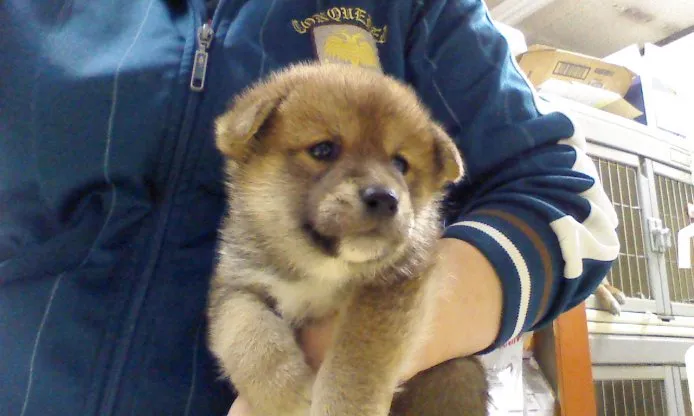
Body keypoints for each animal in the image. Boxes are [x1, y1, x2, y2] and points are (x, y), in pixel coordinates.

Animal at [207, 62, 490, 416]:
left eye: (400, 164)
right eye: (323, 150)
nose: (385, 198)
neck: (320, 269)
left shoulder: (392, 284)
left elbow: (356, 359)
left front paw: (343, 405)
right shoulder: (236, 286)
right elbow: (246, 333)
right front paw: (285, 393)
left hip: (457, 375)